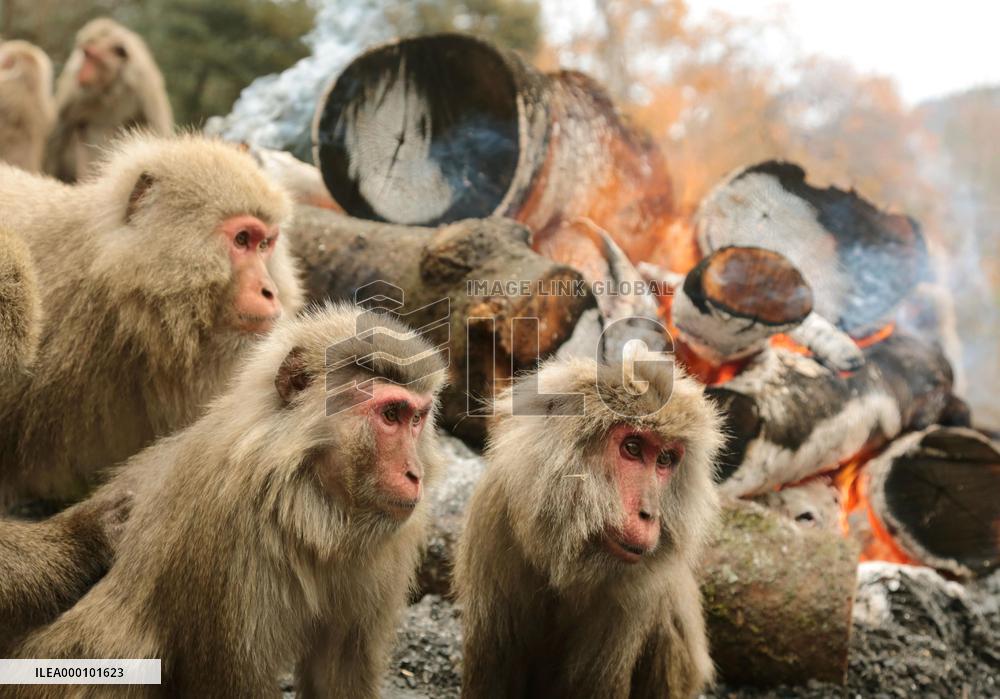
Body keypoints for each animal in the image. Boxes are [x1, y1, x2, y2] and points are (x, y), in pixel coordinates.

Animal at [10, 303, 447, 698]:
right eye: (390, 414)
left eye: (416, 419)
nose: (415, 474)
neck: (310, 506)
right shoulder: (221, 525)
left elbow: (338, 675)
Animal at [46, 19, 173, 182]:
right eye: (85, 54)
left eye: (92, 56)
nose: (82, 71)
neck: (110, 86)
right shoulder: (74, 90)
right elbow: (59, 134)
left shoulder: (144, 83)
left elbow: (155, 128)